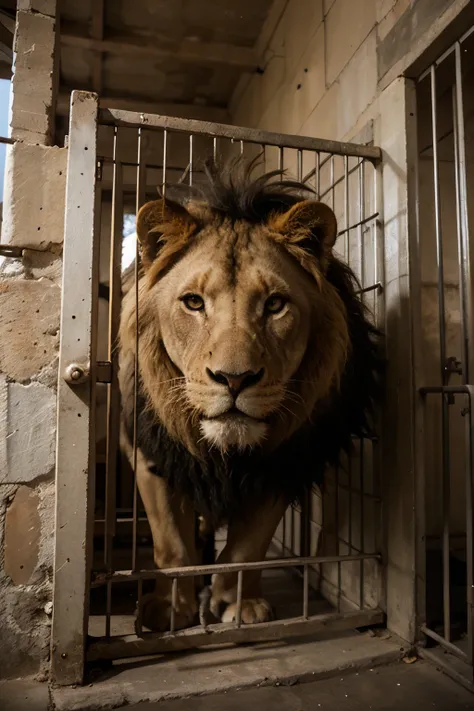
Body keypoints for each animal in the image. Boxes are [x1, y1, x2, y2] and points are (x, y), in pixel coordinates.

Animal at [119, 159, 382, 632]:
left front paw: (239, 605)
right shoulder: (151, 451)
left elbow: (248, 544)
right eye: (193, 302)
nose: (234, 378)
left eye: (275, 305)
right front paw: (169, 609)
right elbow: (171, 543)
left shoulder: (288, 457)